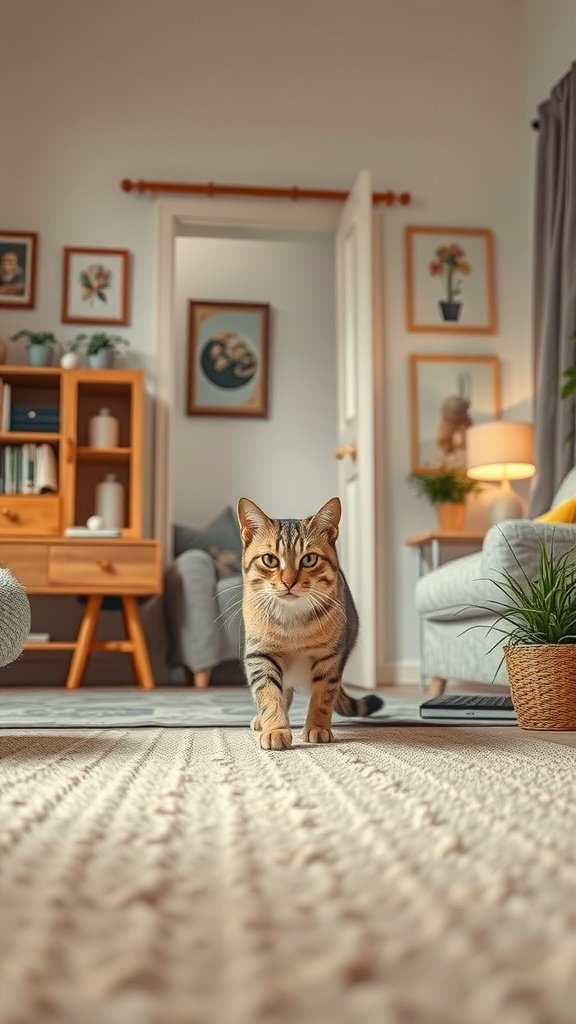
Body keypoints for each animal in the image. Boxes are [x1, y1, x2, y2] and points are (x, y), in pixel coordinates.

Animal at [235, 497, 383, 753]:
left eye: (309, 559)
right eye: (270, 560)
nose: (288, 582)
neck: (292, 621)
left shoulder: (330, 658)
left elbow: (323, 697)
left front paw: (317, 727)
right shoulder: (260, 654)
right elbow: (269, 694)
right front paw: (275, 729)